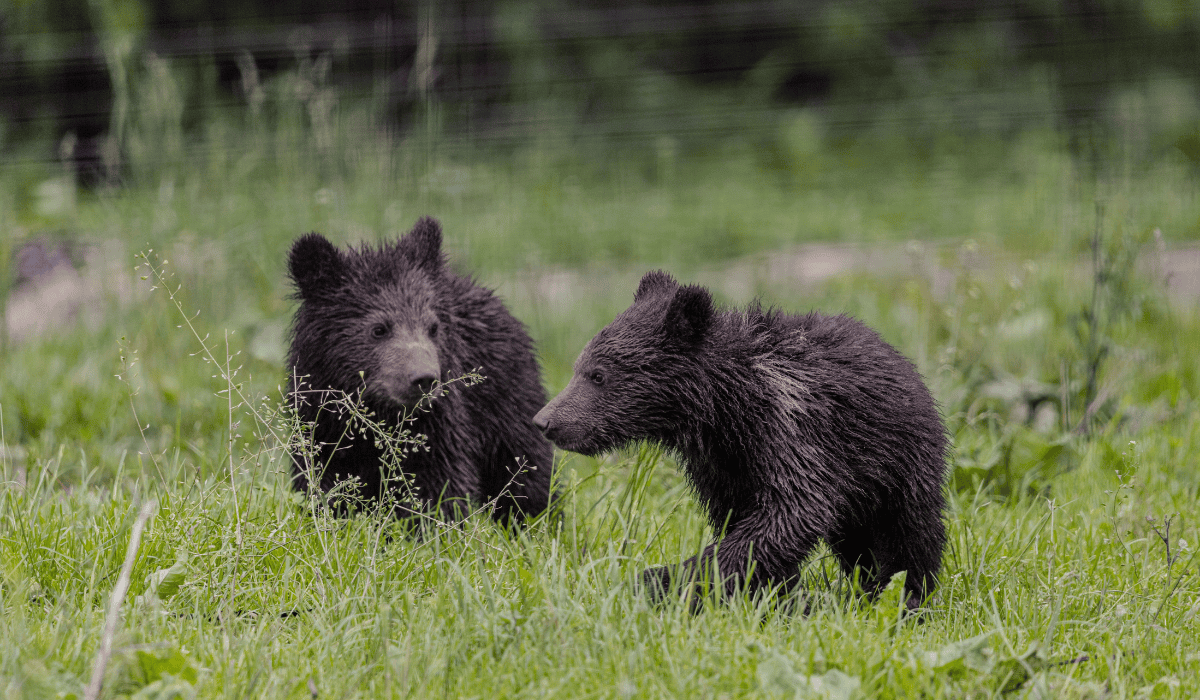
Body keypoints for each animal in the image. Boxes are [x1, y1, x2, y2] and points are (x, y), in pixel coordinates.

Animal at [286, 216, 554, 525]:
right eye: (378, 329)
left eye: (433, 327)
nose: (424, 379)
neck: (379, 416)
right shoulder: (320, 420)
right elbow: (324, 479)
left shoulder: (439, 424)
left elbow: (439, 485)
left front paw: (431, 526)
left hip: (508, 403)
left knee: (525, 470)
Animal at [533, 270, 948, 609]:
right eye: (579, 366)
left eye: (598, 375)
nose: (545, 421)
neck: (726, 411)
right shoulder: (721, 466)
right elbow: (740, 519)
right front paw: (774, 596)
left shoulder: (792, 433)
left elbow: (787, 514)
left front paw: (662, 580)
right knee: (858, 546)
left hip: (897, 466)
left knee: (909, 538)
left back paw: (909, 598)